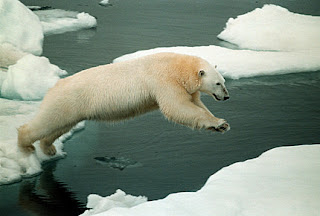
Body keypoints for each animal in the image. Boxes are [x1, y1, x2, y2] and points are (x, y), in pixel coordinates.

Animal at [17, 52, 229, 155]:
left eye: (223, 81)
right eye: (218, 83)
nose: (226, 97)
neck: (178, 67)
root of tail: (54, 86)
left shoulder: (186, 87)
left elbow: (195, 104)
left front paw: (221, 124)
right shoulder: (164, 80)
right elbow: (177, 107)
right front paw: (219, 123)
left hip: (72, 108)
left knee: (60, 126)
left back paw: (48, 147)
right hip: (67, 100)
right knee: (47, 121)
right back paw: (25, 144)